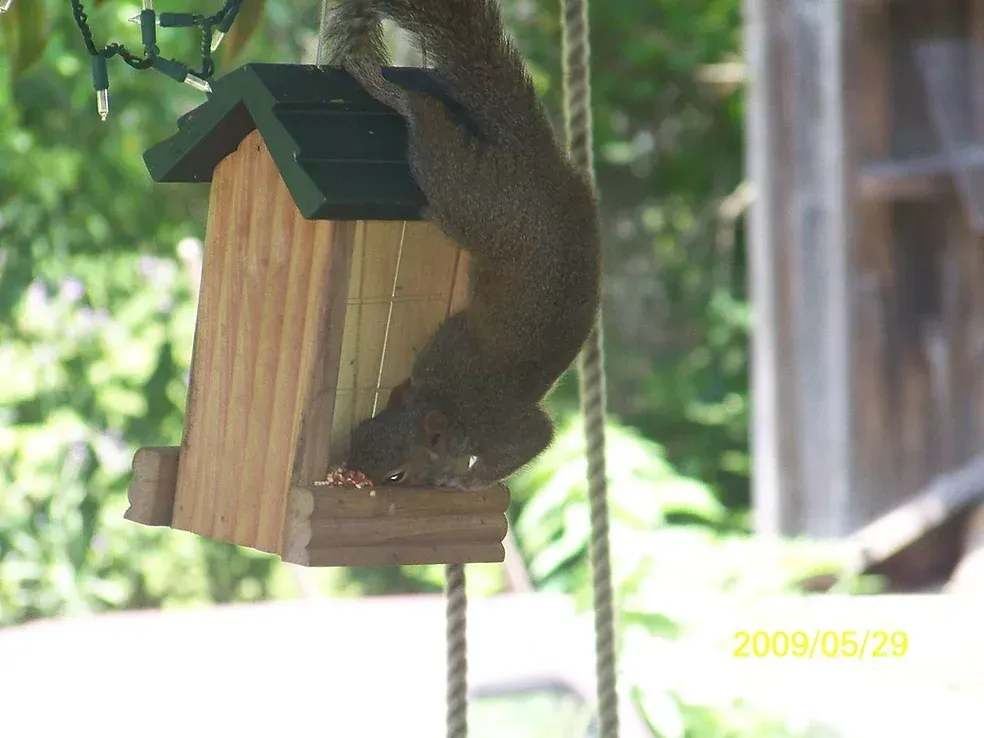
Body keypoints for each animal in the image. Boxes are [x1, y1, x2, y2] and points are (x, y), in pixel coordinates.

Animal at [324, 0, 602, 490]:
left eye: (397, 475)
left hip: (468, 196)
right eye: (361, 430)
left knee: (427, 118)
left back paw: (381, 85)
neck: (445, 401)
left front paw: (466, 482)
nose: (352, 471)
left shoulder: (499, 427)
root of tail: (540, 160)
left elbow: (533, 439)